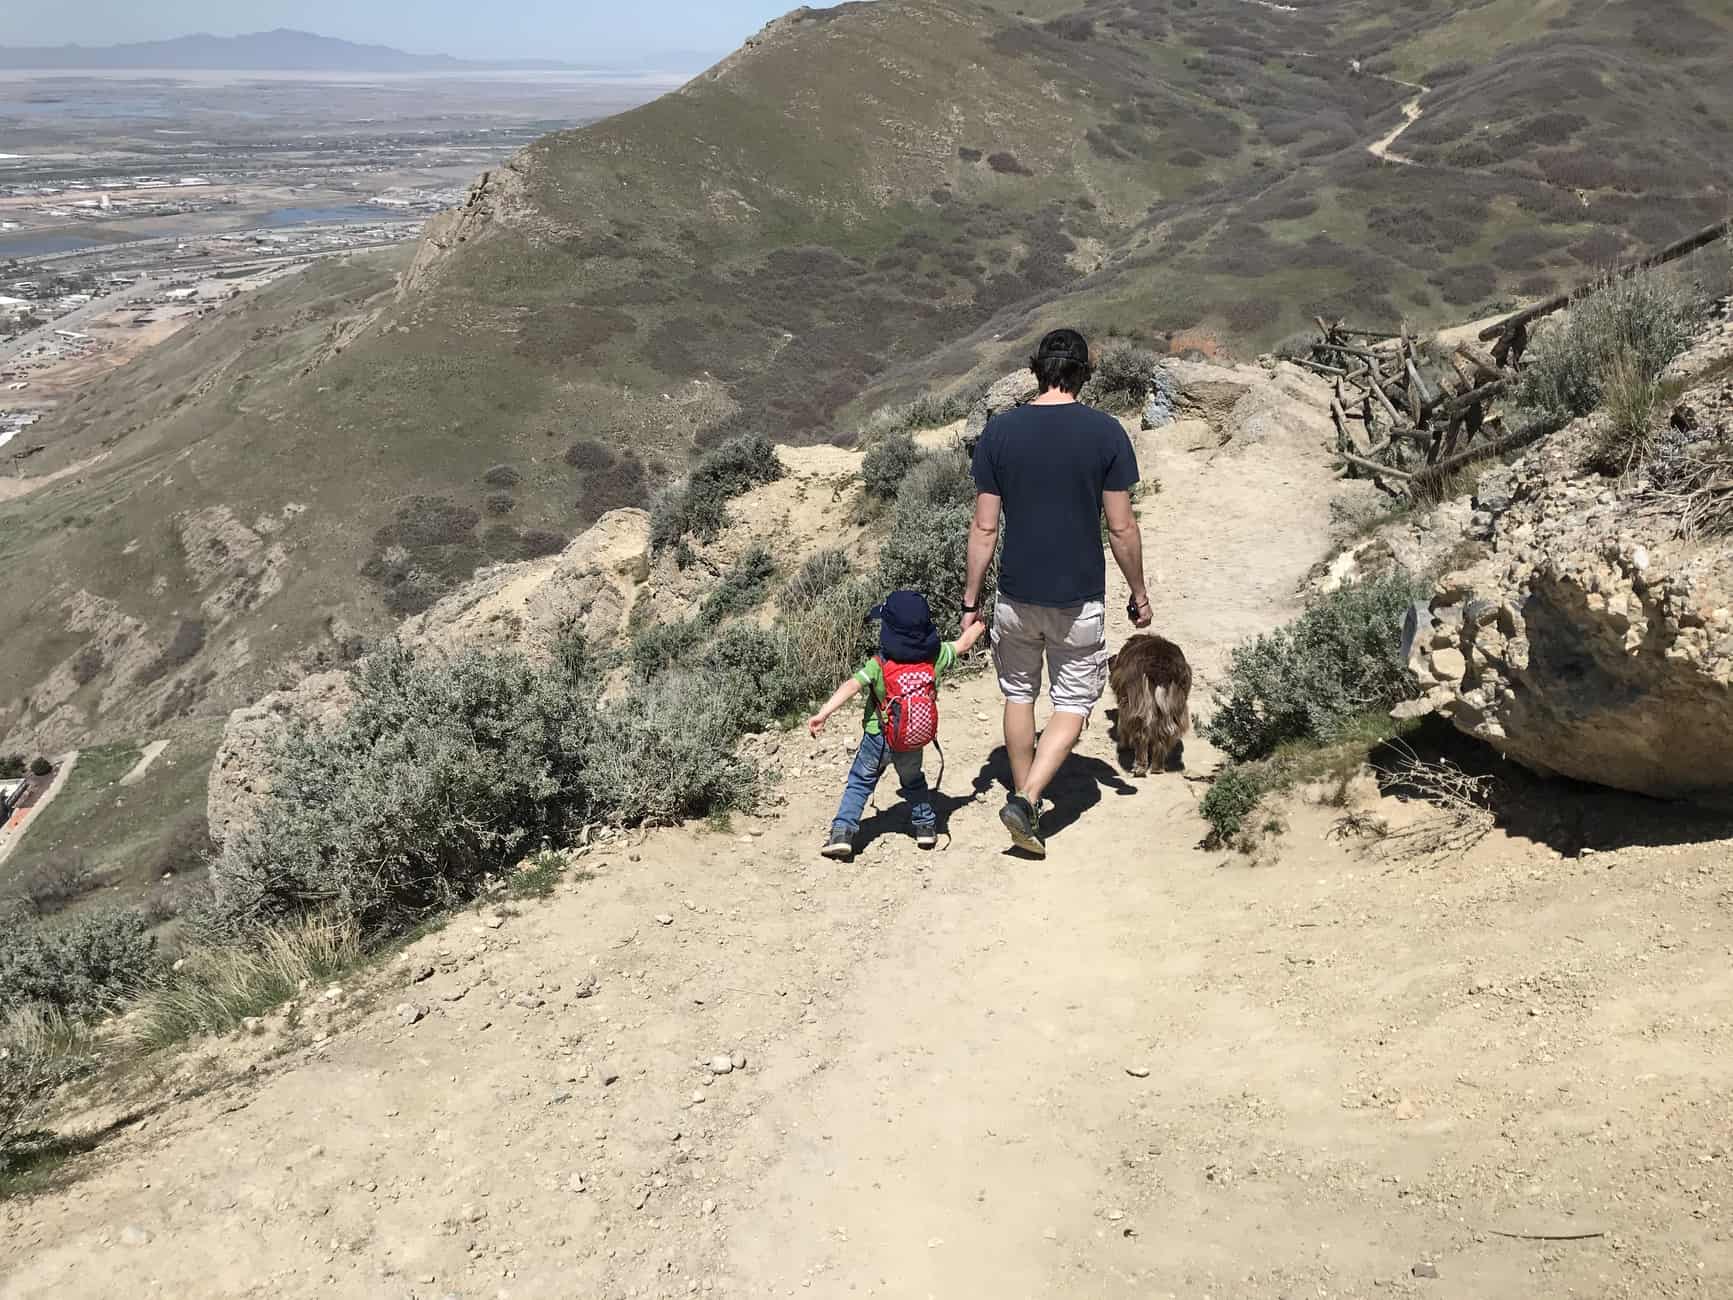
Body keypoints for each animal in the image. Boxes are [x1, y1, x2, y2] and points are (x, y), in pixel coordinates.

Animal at [1109, 637, 1192, 780]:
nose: (1109, 659)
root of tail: (1162, 671)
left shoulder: (1125, 701)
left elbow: (1122, 725)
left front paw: (1123, 745)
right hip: (1174, 707)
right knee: (1163, 734)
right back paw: (1157, 767)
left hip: (1139, 704)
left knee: (1141, 733)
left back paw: (1140, 768)